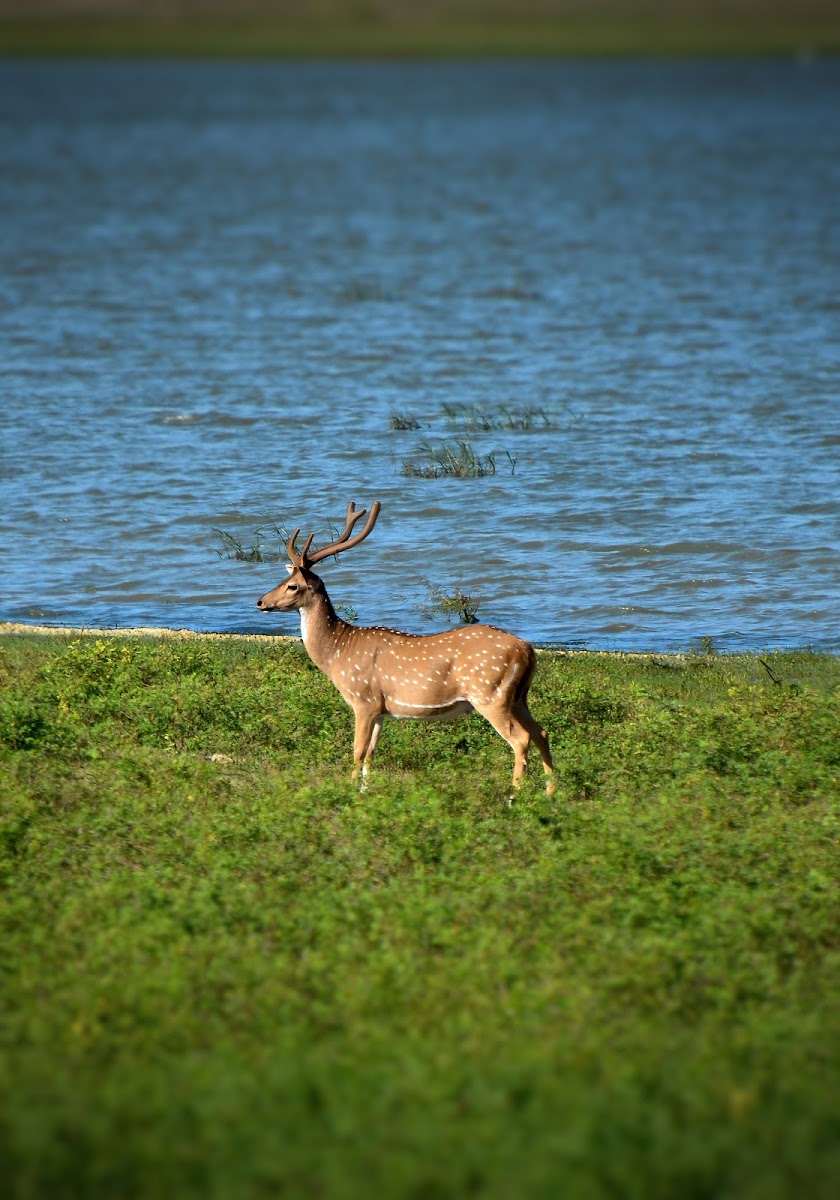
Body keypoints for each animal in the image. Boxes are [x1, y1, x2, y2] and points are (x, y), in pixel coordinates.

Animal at [255, 499, 556, 796]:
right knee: (541, 732)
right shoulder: (380, 709)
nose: (260, 601)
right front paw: (365, 793)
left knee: (521, 739)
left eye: (293, 586)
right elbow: (371, 755)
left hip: (489, 692)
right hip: (518, 696)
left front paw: (349, 792)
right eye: (283, 581)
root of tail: (527, 650)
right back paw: (551, 793)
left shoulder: (364, 699)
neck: (337, 652)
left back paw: (514, 795)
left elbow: (357, 751)